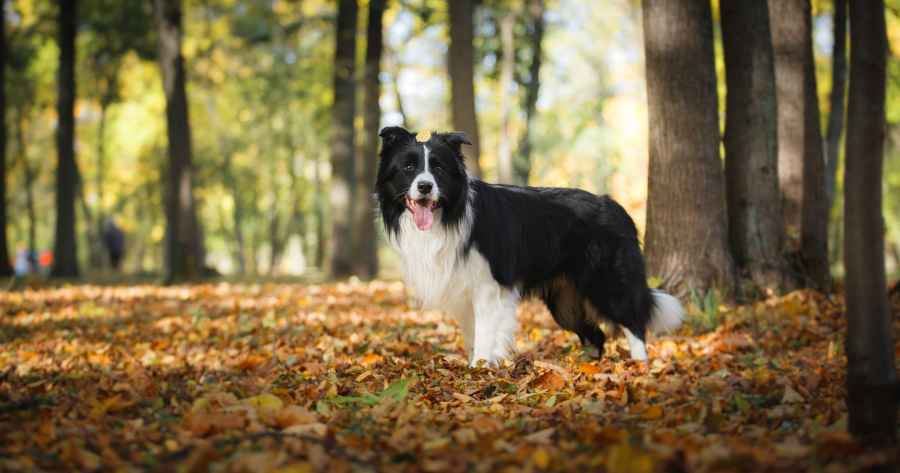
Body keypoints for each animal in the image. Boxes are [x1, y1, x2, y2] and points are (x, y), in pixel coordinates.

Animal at [374, 125, 684, 366]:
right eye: (409, 167)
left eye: (438, 167)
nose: (425, 186)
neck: (449, 216)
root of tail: (615, 206)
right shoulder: (462, 290)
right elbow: (472, 335)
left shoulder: (487, 287)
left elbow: (485, 334)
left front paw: (479, 369)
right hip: (565, 301)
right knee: (595, 335)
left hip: (607, 281)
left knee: (633, 322)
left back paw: (639, 365)